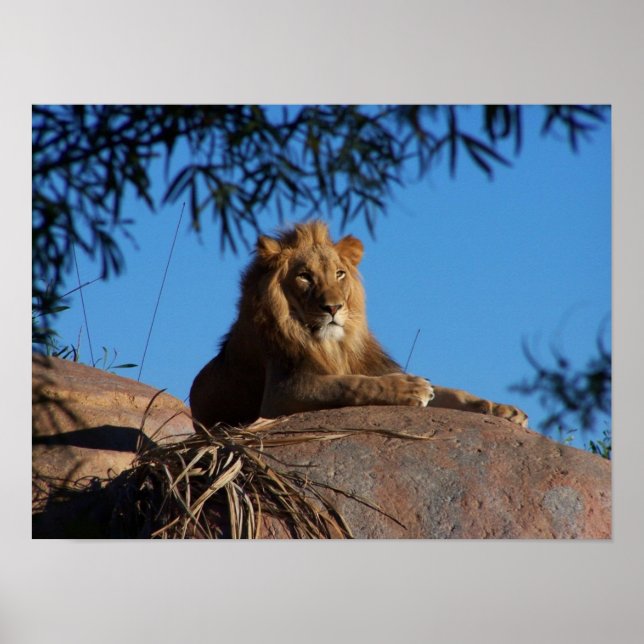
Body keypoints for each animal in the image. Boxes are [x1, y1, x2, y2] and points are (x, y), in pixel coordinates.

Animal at [190, 220, 528, 430]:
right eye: (304, 277)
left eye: (339, 274)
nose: (333, 308)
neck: (332, 343)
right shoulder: (278, 395)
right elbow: (348, 384)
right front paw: (409, 389)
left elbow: (451, 392)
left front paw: (502, 409)